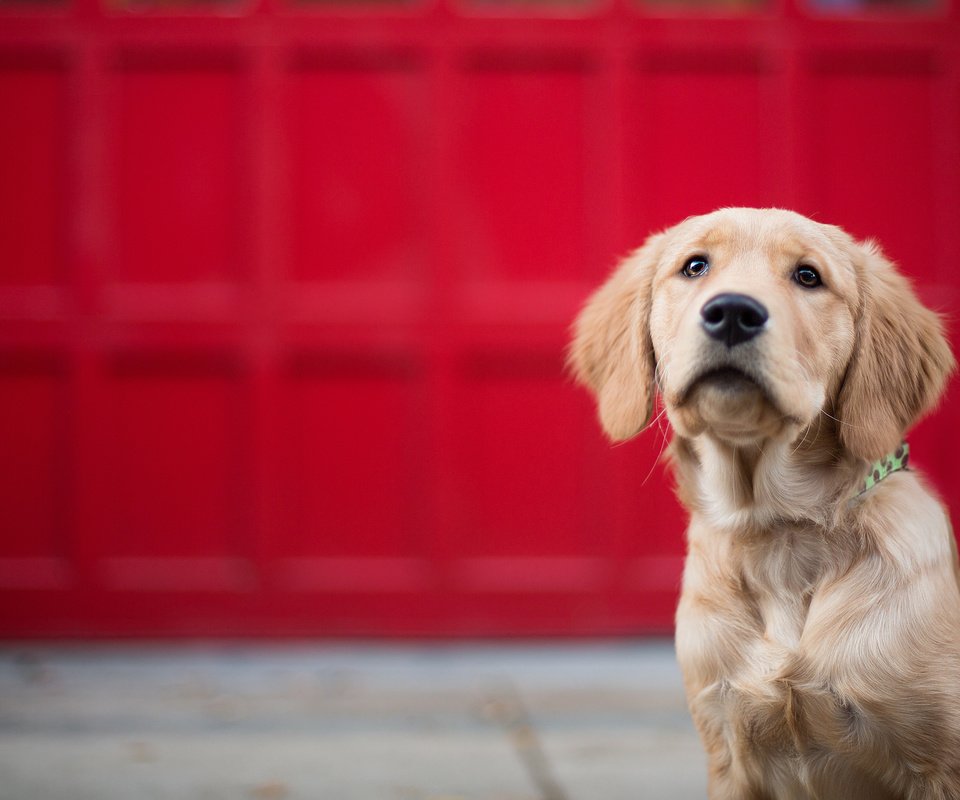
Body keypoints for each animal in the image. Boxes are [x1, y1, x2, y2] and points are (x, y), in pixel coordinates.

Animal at [568, 209, 960, 796]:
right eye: (695, 266)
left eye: (808, 276)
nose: (732, 313)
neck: (776, 530)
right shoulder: (729, 750)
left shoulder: (938, 763)